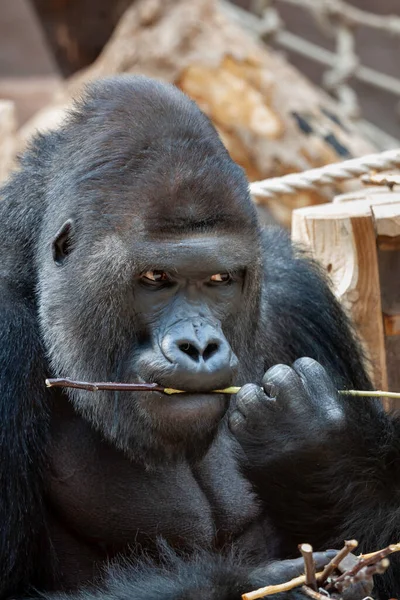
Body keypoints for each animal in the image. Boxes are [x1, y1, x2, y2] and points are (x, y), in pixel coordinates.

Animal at [0, 76, 394, 600]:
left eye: (220, 279)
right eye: (155, 277)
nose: (200, 347)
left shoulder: (298, 296)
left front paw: (321, 448)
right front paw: (274, 583)